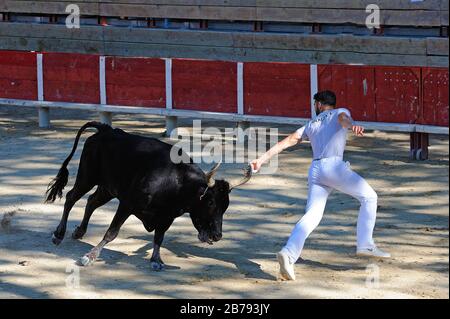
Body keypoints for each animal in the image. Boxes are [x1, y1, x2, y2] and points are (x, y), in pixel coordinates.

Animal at [46, 122, 253, 270]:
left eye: (225, 207)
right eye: (210, 202)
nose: (218, 235)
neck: (176, 182)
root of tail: (107, 130)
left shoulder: (167, 217)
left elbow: (159, 237)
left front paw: (156, 260)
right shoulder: (127, 204)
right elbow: (112, 232)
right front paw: (90, 257)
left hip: (108, 187)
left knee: (91, 202)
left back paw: (79, 232)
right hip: (87, 177)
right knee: (71, 198)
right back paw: (58, 234)